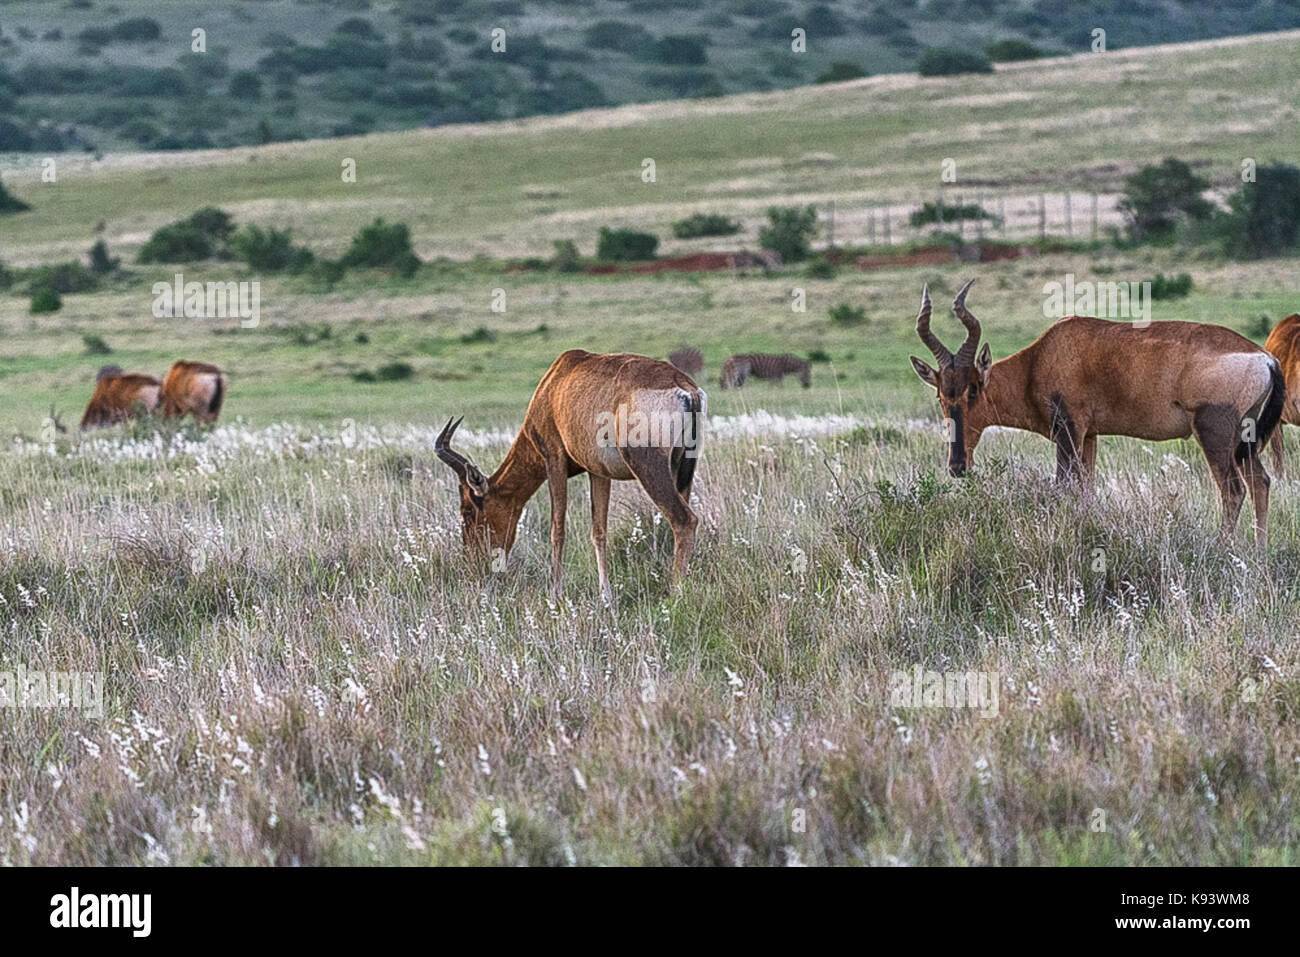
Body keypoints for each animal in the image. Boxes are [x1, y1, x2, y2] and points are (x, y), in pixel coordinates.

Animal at [436, 348, 707, 605]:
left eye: (468, 510)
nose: (473, 563)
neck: (555, 383)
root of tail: (686, 389)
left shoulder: (553, 461)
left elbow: (557, 530)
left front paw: (555, 596)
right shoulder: (598, 472)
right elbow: (599, 532)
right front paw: (606, 597)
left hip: (647, 465)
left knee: (684, 520)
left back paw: (674, 597)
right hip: (682, 468)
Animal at [909, 280, 1284, 540]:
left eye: (973, 390)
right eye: (942, 395)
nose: (957, 466)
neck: (1043, 356)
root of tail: (1265, 358)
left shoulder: (1069, 430)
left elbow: (1064, 486)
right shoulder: (1089, 436)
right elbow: (1086, 491)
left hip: (1214, 433)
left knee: (1233, 490)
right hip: (1244, 439)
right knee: (1261, 483)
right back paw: (1258, 554)